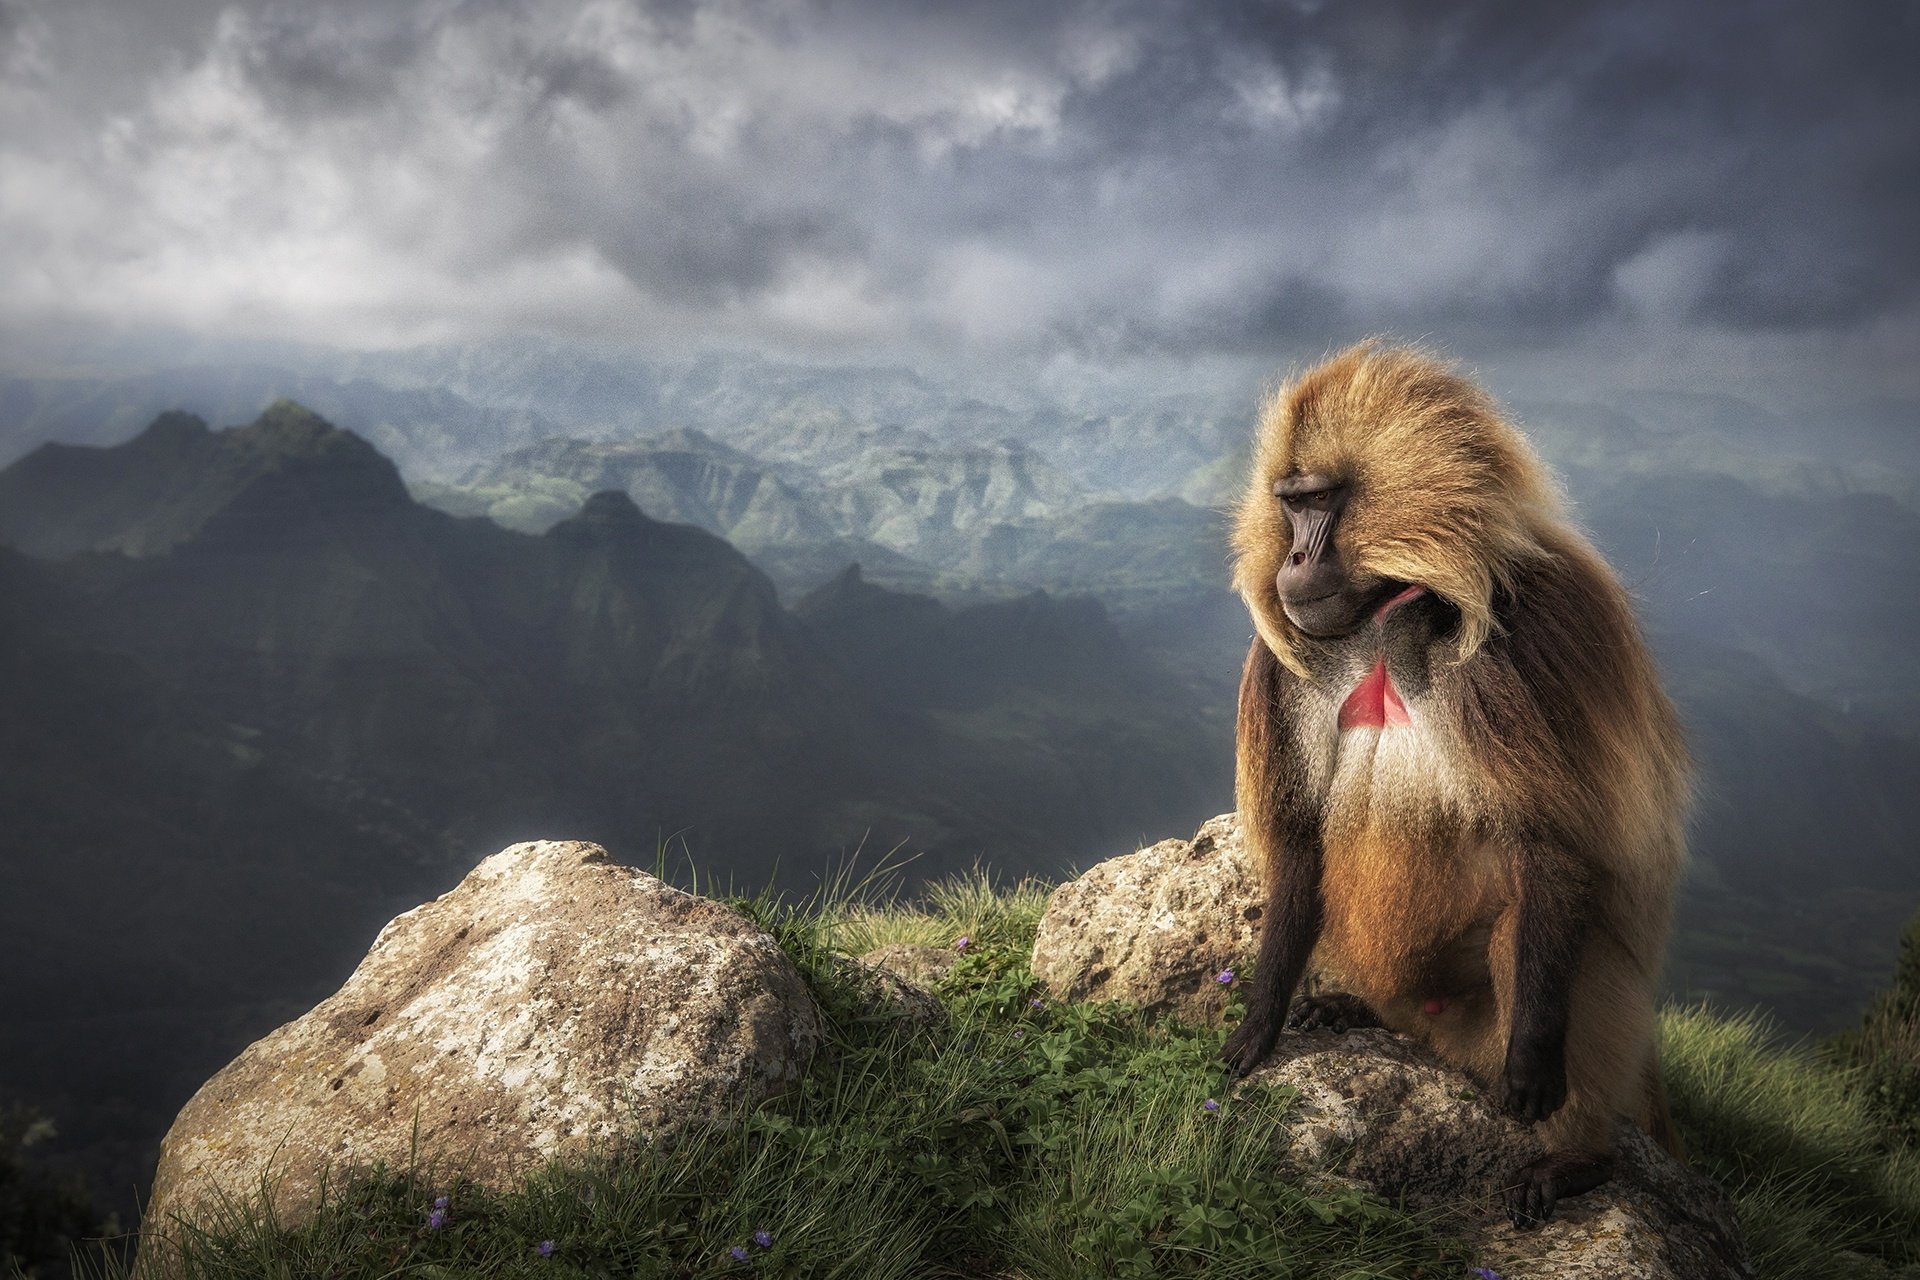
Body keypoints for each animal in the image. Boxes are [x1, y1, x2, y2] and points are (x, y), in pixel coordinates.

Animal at [1219, 342, 1689, 1229]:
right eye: (1288, 506)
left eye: (1321, 502)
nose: (1292, 559)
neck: (1385, 620)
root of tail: (1433, 1038)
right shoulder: (1280, 664)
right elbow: (1298, 837)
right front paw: (1261, 1021)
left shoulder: (1527, 640)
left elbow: (1553, 843)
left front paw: (1539, 1075)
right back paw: (1351, 1010)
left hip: (1487, 1022)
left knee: (1537, 935)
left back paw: (1575, 1161)